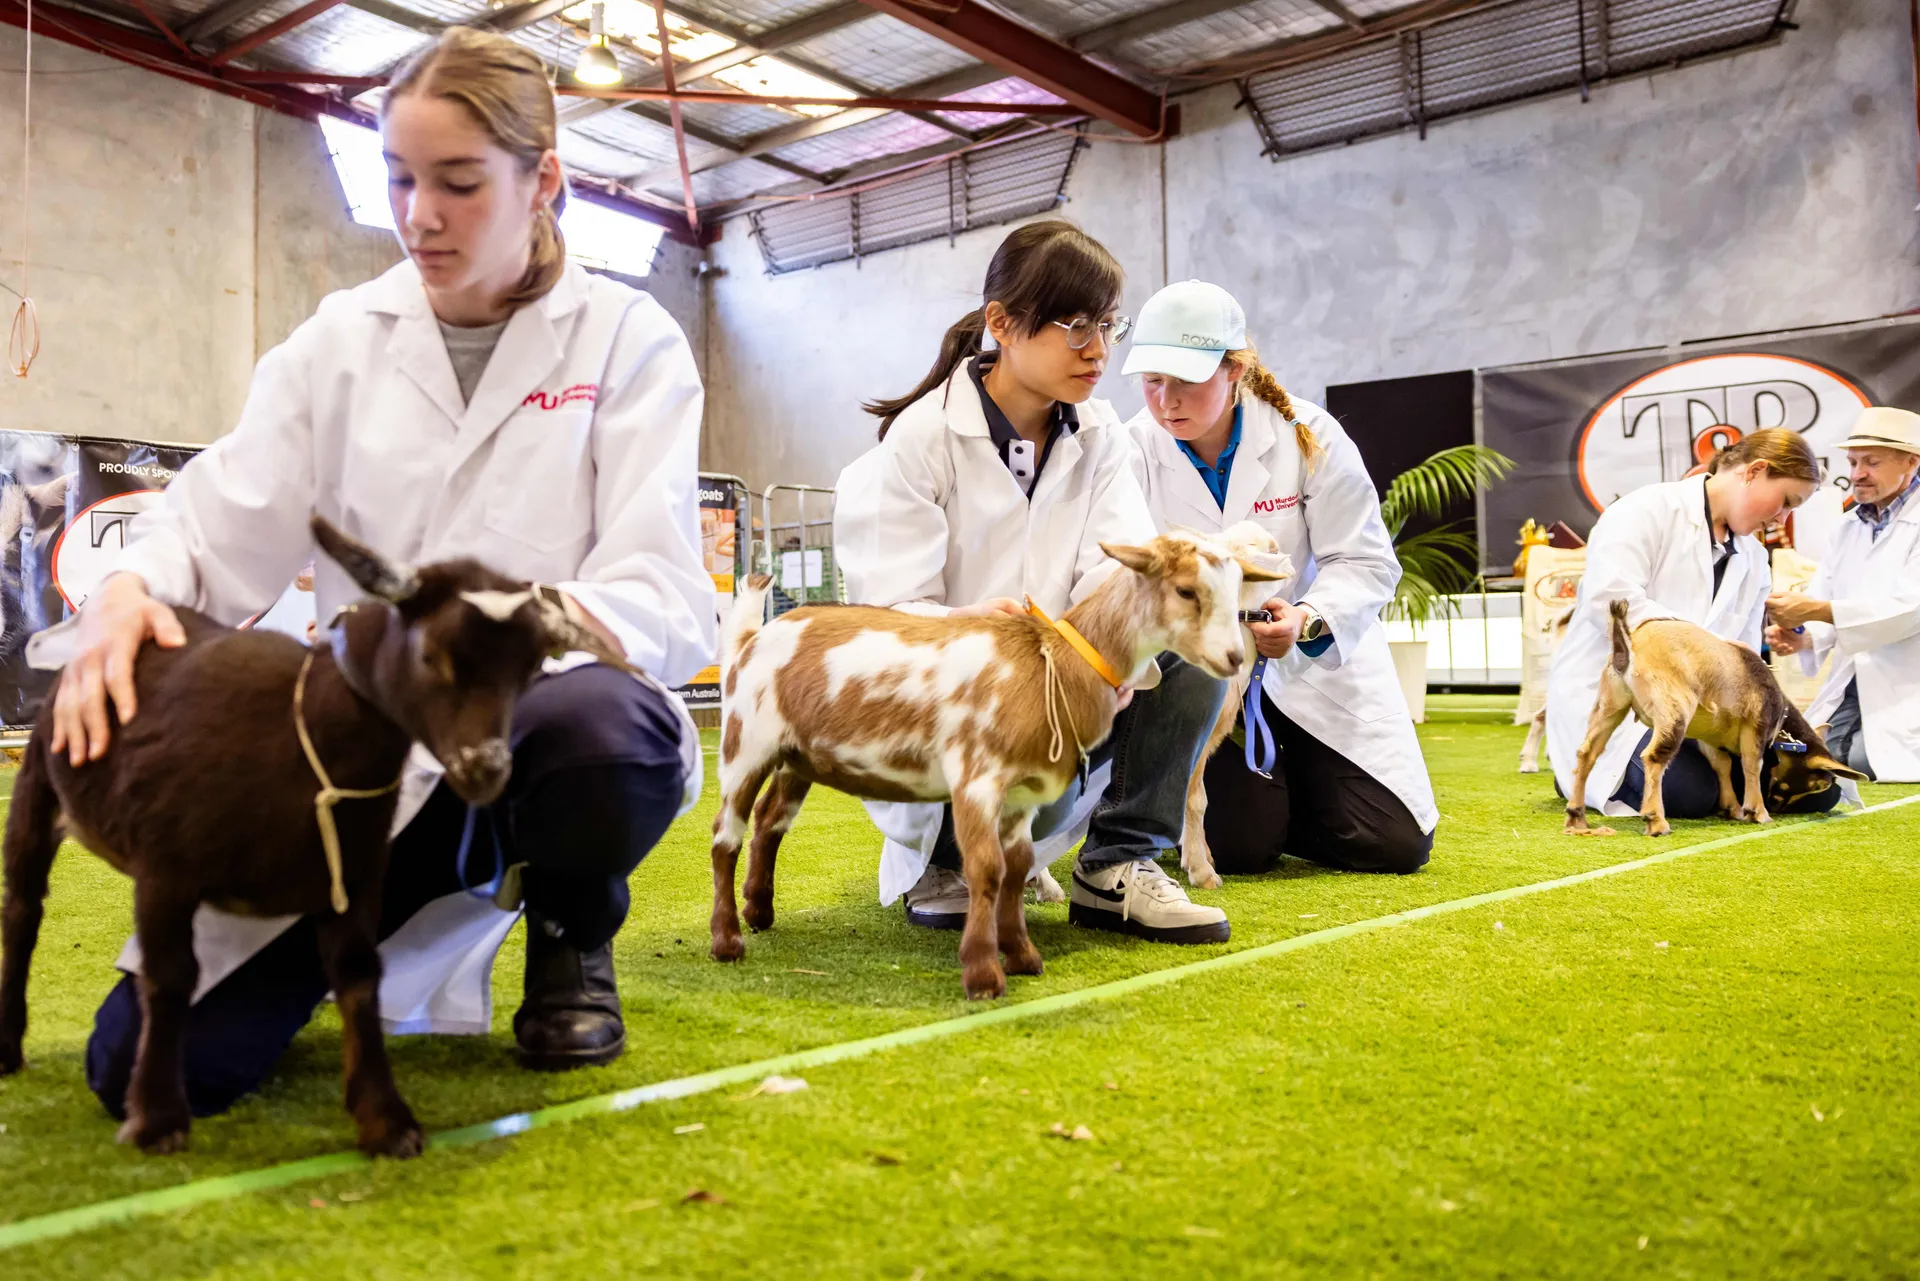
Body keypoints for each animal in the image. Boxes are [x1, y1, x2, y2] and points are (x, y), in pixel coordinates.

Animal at [0, 516, 621, 1156]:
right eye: (431, 655)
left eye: (533, 671)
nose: (486, 769)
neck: (311, 744)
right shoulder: (165, 868)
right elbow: (170, 978)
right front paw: (157, 1118)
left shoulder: (353, 874)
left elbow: (359, 978)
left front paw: (385, 1118)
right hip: (37, 794)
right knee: (22, 912)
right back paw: (8, 1047)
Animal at [1563, 600, 1865, 837]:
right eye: (1817, 784)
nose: (1778, 806)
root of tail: (1628, 645)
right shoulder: (1755, 726)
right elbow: (1752, 764)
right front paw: (1757, 812)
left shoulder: (1710, 737)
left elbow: (1721, 765)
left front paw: (1732, 807)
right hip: (1673, 709)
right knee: (1654, 757)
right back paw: (1656, 821)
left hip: (1610, 703)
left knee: (1587, 752)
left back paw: (1577, 817)